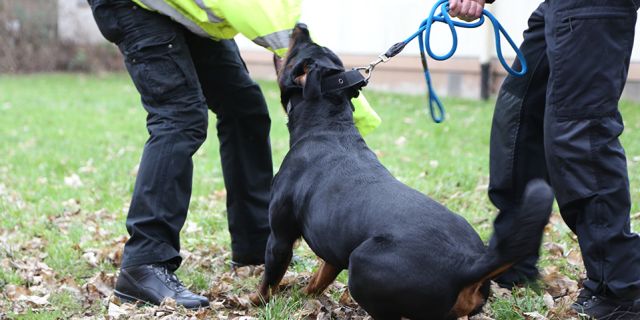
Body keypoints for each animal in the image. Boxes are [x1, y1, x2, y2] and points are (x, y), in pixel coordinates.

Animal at [252, 25, 552, 320]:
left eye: (300, 51)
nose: (301, 26)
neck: (328, 126)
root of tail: (469, 265)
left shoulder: (280, 236)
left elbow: (269, 279)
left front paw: (256, 303)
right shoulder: (333, 248)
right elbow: (319, 279)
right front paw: (302, 298)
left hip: (362, 261)